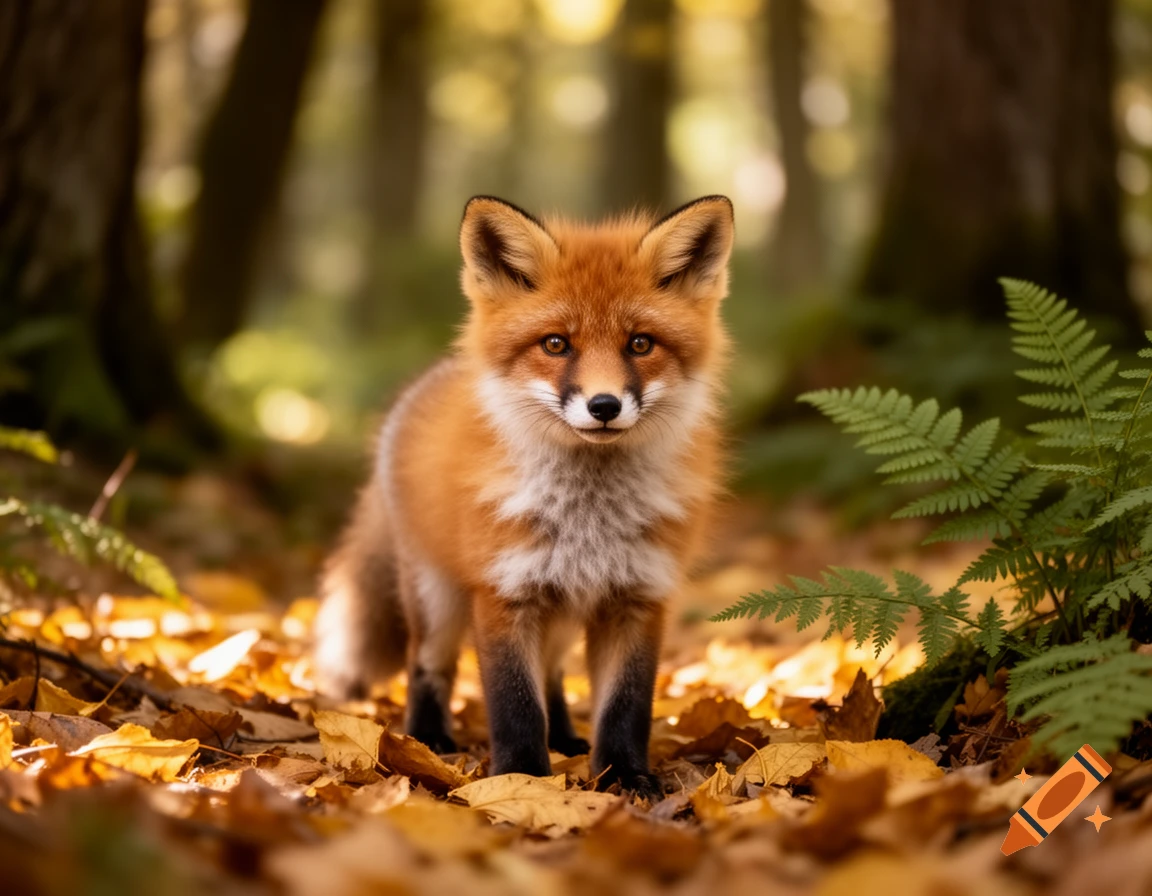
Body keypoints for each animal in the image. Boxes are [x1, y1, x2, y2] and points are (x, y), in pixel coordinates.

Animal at [313, 194, 734, 799]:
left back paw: (565, 738)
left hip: (558, 608)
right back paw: (428, 739)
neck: (588, 517)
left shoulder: (639, 597)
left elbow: (626, 706)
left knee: (553, 675)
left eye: (640, 344)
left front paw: (623, 775)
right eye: (556, 344)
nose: (604, 405)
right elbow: (514, 702)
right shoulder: (504, 592)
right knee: (428, 665)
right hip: (436, 596)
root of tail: (423, 384)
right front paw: (522, 779)